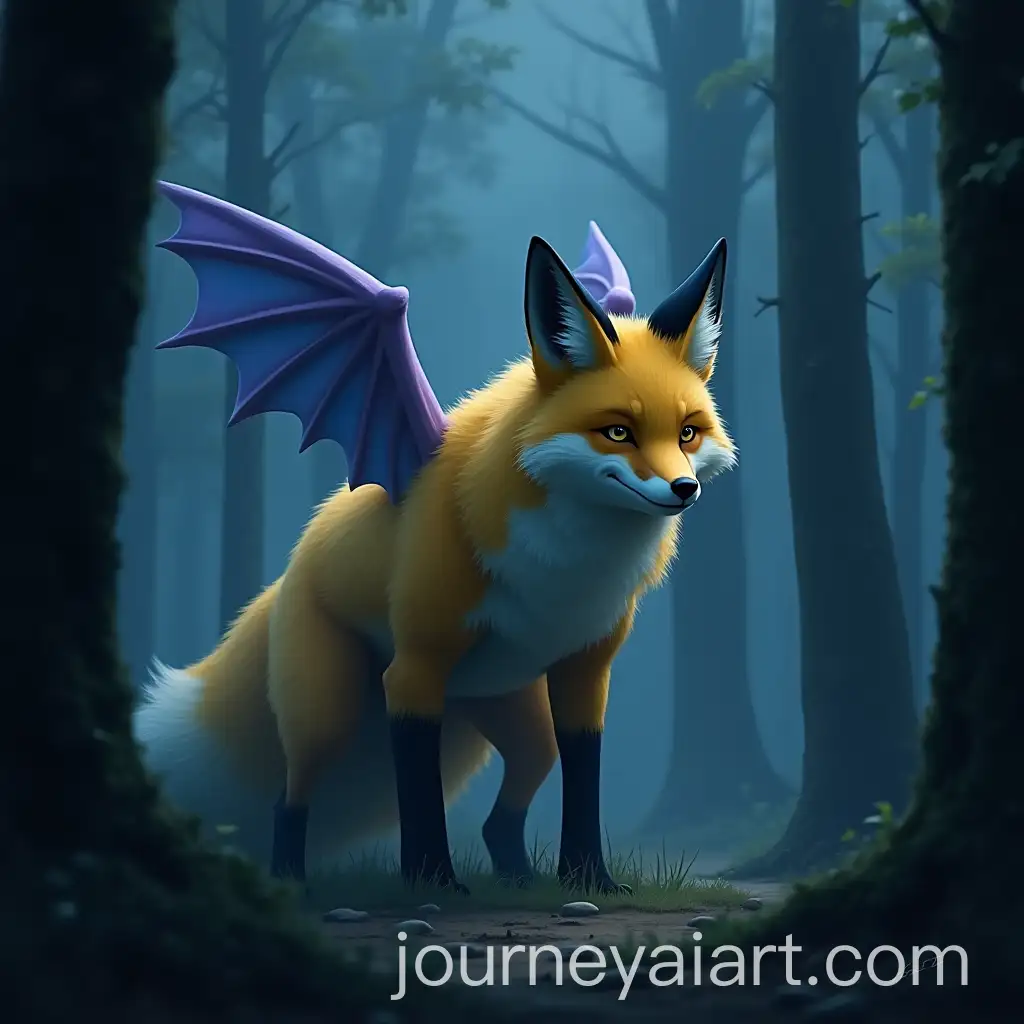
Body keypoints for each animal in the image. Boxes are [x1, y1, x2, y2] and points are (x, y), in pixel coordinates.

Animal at [134, 183, 737, 894]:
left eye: (688, 432)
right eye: (617, 432)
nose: (683, 489)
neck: (562, 576)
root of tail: (288, 572)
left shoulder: (585, 670)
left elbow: (584, 779)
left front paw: (590, 880)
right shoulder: (415, 668)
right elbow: (417, 789)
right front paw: (432, 881)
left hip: (513, 712)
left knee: (509, 804)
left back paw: (519, 877)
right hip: (328, 711)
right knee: (291, 794)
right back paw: (290, 883)